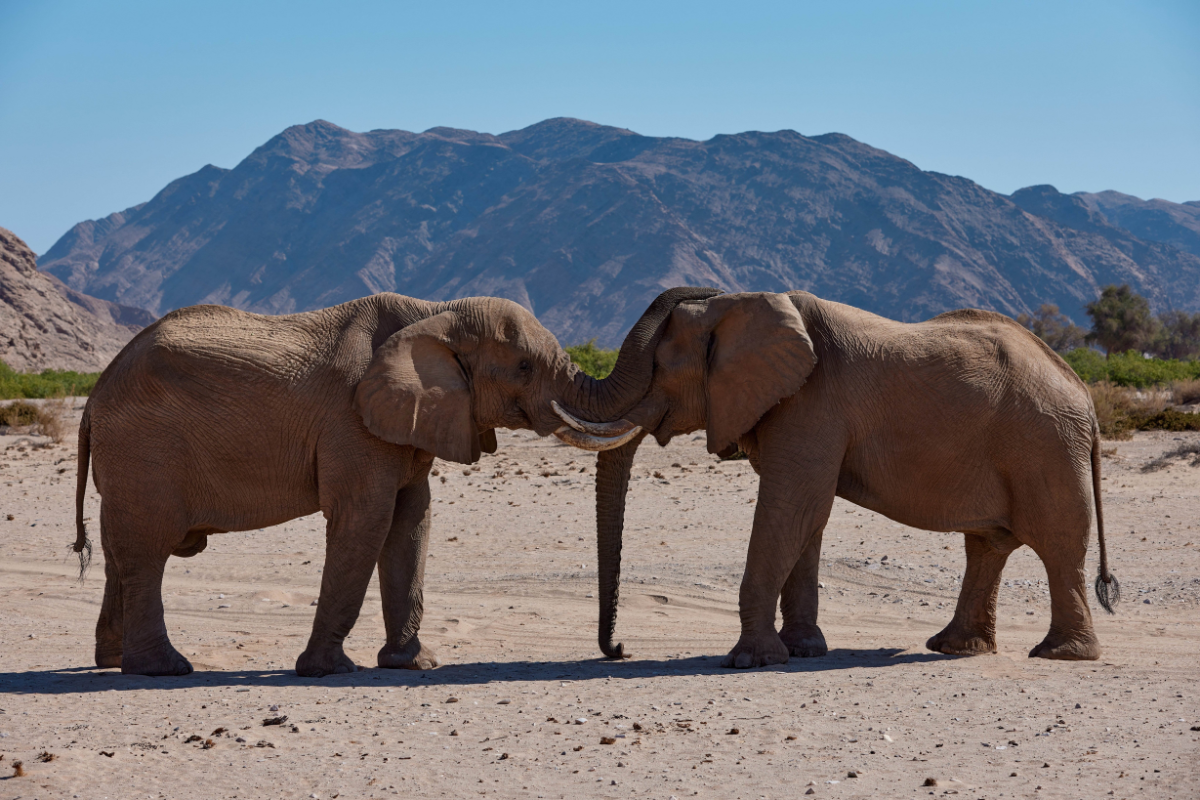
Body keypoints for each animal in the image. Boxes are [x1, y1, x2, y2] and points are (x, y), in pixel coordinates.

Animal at [70, 287, 715, 676]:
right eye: (525, 367)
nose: (622, 649)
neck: (437, 309)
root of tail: (94, 395)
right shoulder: (353, 424)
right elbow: (368, 520)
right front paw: (328, 671)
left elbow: (413, 520)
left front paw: (414, 663)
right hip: (143, 448)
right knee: (147, 549)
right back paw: (164, 669)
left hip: (127, 457)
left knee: (119, 548)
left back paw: (111, 661)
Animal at [556, 291, 1118, 666]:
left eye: (658, 367)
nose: (621, 649)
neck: (740, 306)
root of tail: (1083, 395)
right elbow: (806, 518)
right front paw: (804, 650)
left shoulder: (811, 404)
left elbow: (792, 508)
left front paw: (750, 661)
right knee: (987, 546)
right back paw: (956, 647)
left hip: (1044, 446)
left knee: (1057, 546)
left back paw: (1059, 654)